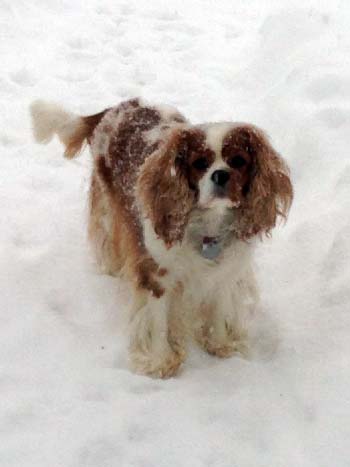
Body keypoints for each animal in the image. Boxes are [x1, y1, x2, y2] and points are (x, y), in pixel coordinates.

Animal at [29, 99, 292, 380]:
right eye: (200, 163)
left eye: (238, 161)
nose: (220, 175)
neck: (207, 224)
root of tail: (113, 108)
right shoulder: (156, 273)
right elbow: (157, 319)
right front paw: (159, 361)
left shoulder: (225, 272)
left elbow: (220, 305)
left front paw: (221, 344)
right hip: (110, 209)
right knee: (108, 238)